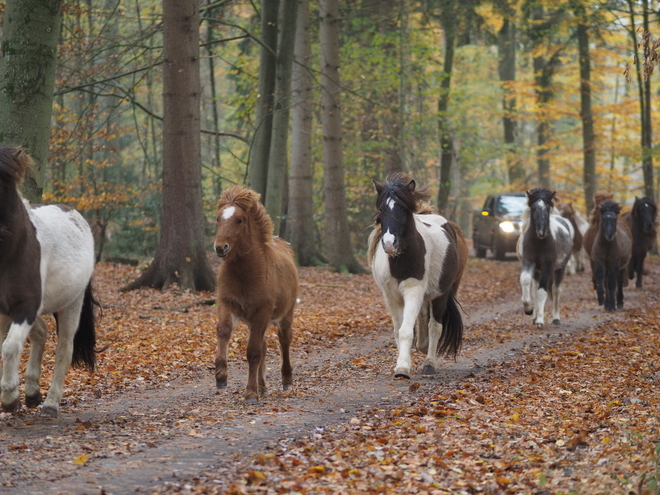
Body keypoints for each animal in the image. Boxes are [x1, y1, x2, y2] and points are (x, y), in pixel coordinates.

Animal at [0, 148, 96, 418]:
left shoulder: (26, 307)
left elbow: (10, 347)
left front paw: (10, 399)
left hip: (72, 304)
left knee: (64, 348)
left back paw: (51, 403)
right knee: (40, 334)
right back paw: (33, 393)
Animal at [213, 184, 298, 404]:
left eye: (239, 220)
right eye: (218, 219)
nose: (220, 247)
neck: (245, 274)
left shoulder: (262, 311)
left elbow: (253, 352)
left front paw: (250, 393)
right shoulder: (227, 303)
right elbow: (223, 330)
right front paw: (221, 376)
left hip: (286, 314)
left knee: (284, 340)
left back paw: (286, 380)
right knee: (265, 345)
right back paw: (262, 385)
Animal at [366, 174, 464, 380]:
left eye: (403, 209)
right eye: (382, 209)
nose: (389, 243)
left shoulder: (413, 290)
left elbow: (406, 330)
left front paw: (403, 369)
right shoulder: (391, 296)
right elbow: (399, 330)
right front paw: (402, 364)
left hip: (440, 294)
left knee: (435, 326)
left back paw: (429, 363)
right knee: (423, 316)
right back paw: (423, 347)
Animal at [520, 188, 576, 328]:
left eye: (547, 208)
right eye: (533, 208)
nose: (542, 232)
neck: (538, 243)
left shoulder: (548, 265)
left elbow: (542, 291)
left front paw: (540, 320)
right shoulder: (528, 261)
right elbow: (525, 279)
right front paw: (528, 309)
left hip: (560, 268)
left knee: (556, 290)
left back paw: (556, 318)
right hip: (537, 271)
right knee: (535, 288)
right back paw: (534, 316)